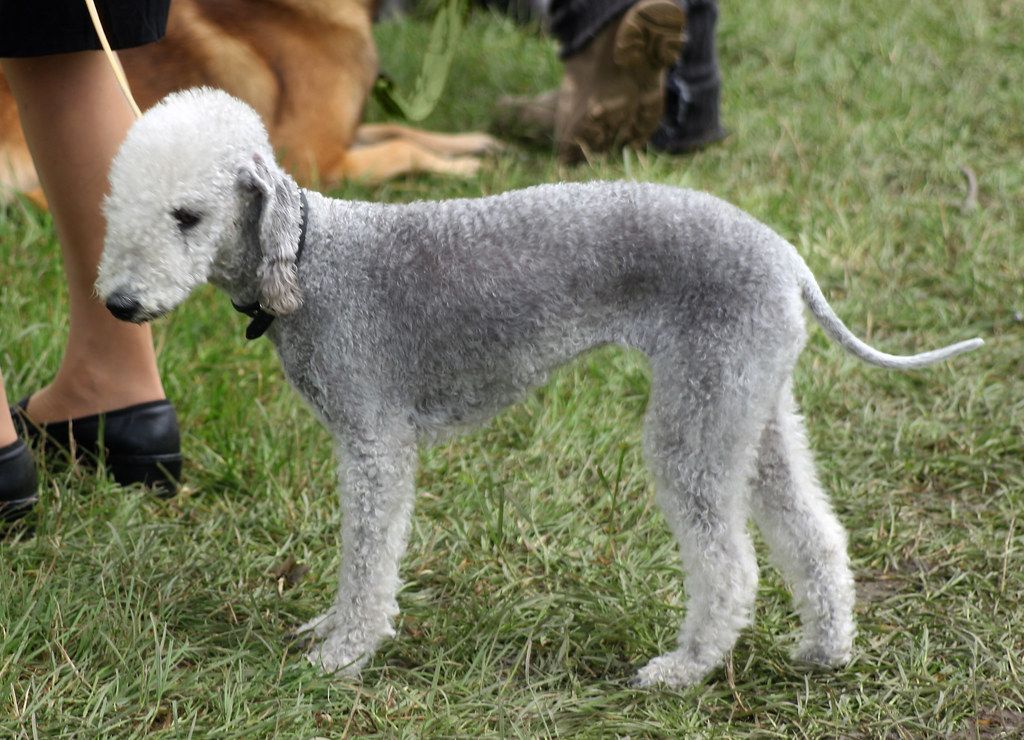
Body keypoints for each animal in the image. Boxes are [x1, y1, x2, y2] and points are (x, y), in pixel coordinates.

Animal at [0, 0, 497, 208]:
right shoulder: (314, 159)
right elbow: (402, 147)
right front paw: (463, 169)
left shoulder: (342, 137)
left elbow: (401, 129)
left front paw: (477, 143)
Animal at [96, 88, 983, 687]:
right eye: (116, 207)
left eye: (186, 215)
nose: (119, 305)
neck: (310, 256)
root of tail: (785, 254)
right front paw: (328, 629)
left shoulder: (375, 442)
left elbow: (368, 556)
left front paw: (344, 653)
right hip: (749, 402)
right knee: (813, 532)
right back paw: (824, 650)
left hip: (695, 416)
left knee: (730, 567)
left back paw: (682, 670)